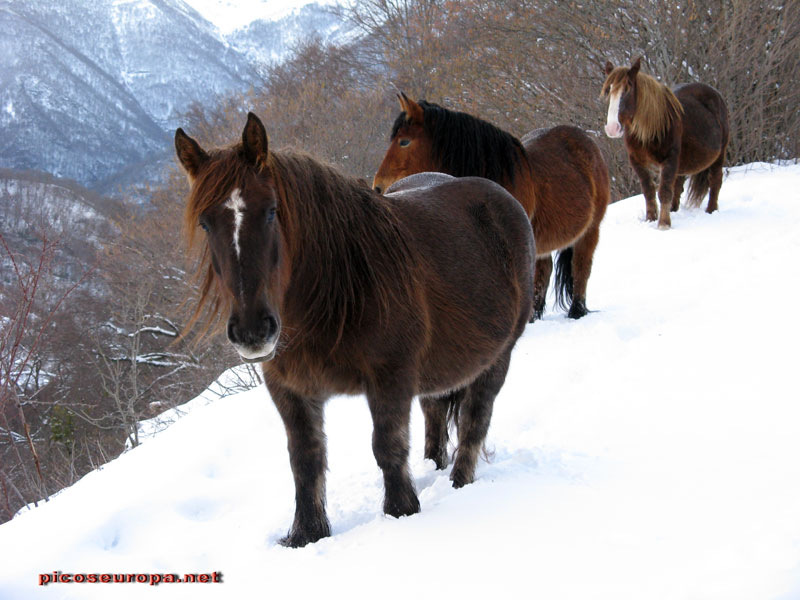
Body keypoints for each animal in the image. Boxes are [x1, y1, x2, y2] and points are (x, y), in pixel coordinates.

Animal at [176, 112, 536, 548]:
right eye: (205, 223)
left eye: (271, 211)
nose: (252, 331)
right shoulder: (290, 390)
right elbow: (305, 460)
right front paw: (307, 535)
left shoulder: (390, 378)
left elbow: (387, 447)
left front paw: (401, 513)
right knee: (435, 417)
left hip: (498, 358)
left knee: (474, 423)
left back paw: (459, 483)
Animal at [372, 94, 608, 318]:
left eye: (404, 141)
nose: (378, 186)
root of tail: (586, 140)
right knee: (545, 270)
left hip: (591, 230)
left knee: (581, 267)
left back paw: (576, 310)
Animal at [604, 56, 728, 230]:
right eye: (608, 90)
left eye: (627, 89)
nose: (612, 128)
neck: (649, 130)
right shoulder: (637, 161)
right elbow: (649, 191)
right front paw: (650, 219)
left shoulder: (669, 159)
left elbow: (663, 191)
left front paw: (663, 224)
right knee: (678, 186)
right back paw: (674, 210)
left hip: (719, 154)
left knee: (715, 181)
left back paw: (711, 210)